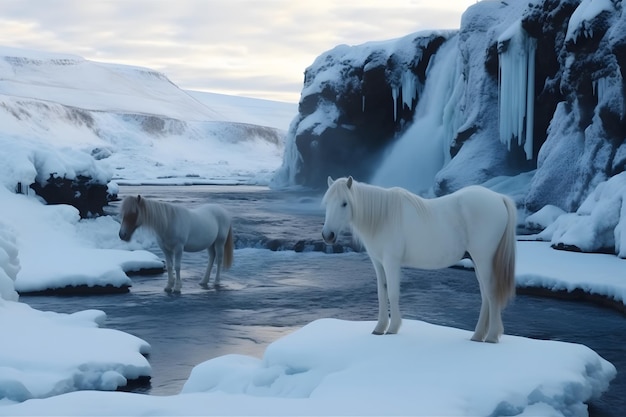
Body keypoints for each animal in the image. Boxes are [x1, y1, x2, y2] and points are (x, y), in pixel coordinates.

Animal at [320, 176, 516, 342]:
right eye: (327, 203)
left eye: (345, 203)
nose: (327, 235)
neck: (383, 217)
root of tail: (498, 198)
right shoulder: (378, 263)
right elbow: (381, 293)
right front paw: (379, 328)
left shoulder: (391, 262)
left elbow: (392, 293)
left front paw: (392, 328)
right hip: (477, 261)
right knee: (485, 295)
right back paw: (477, 335)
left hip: (484, 259)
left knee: (491, 292)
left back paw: (492, 336)